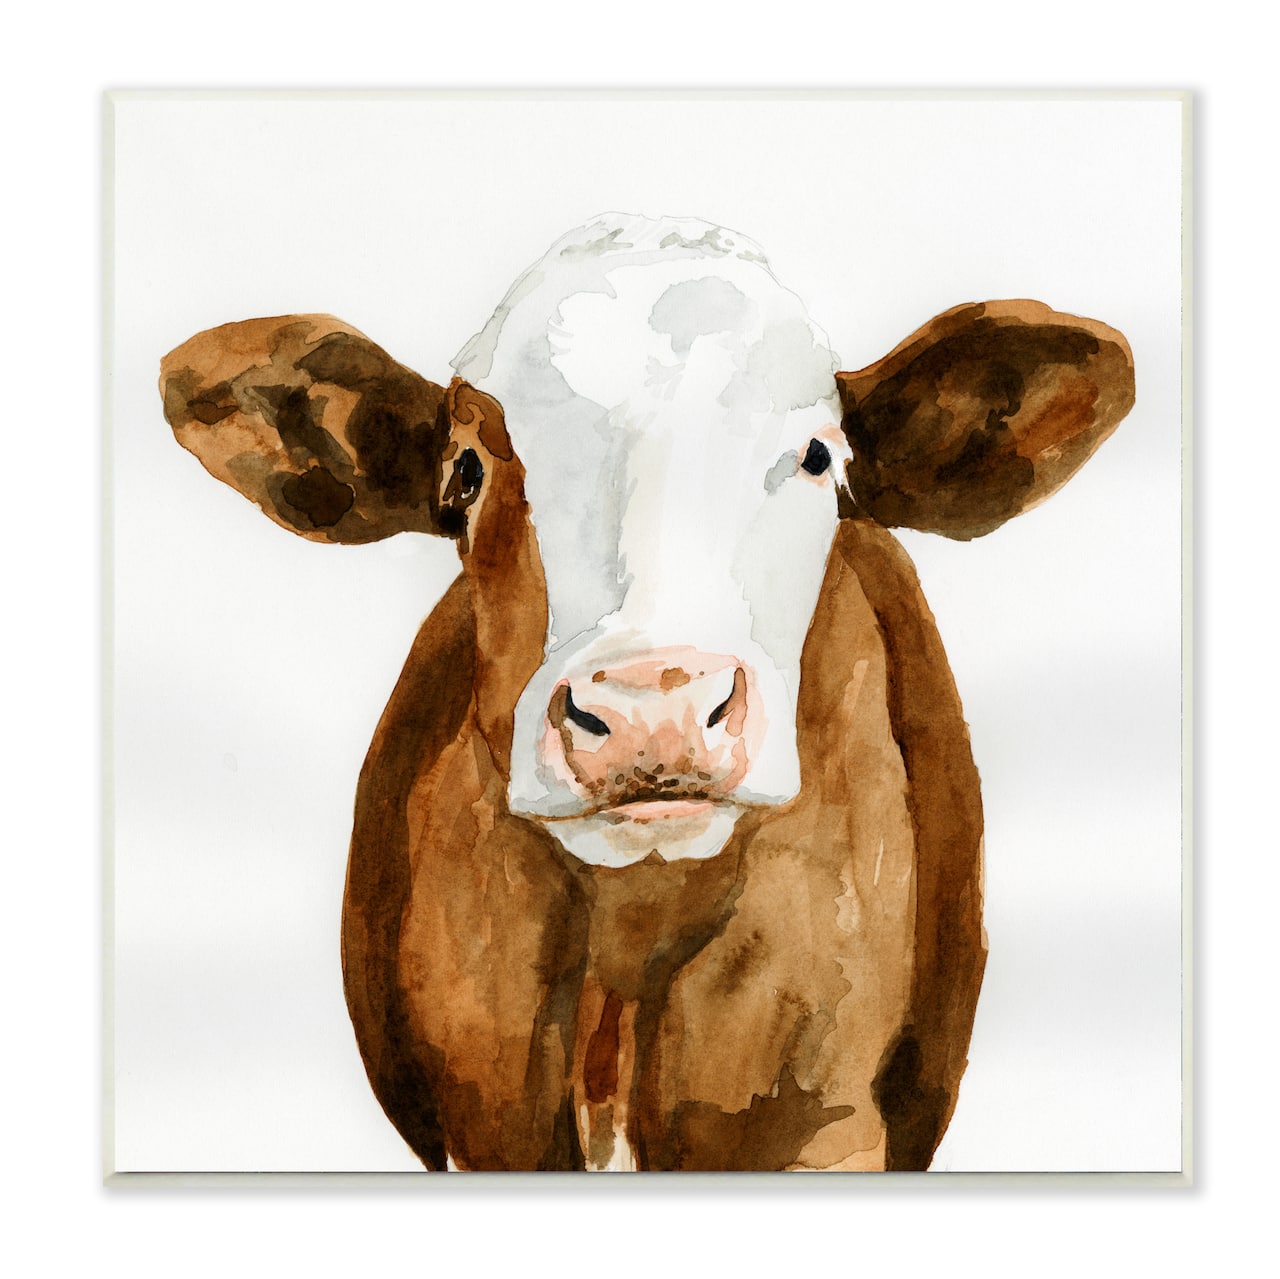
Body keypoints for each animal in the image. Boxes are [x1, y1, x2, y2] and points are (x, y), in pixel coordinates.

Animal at [159, 213, 1134, 1172]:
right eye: (466, 471)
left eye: (818, 456)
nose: (651, 709)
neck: (626, 944)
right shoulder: (481, 1129)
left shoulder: (828, 1123)